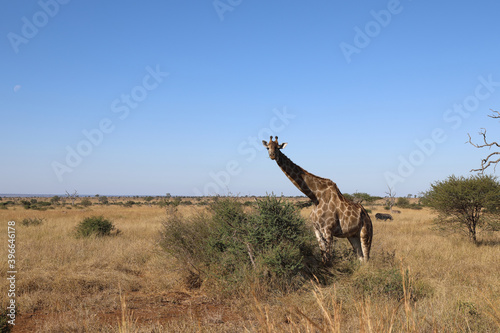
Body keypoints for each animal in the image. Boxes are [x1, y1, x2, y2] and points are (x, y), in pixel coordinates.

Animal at [264, 136, 374, 264]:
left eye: (278, 147)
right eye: (267, 147)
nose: (272, 155)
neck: (316, 197)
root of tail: (367, 215)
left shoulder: (328, 230)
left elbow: (329, 259)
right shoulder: (316, 229)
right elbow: (323, 257)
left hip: (365, 233)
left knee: (366, 258)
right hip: (352, 235)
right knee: (361, 258)